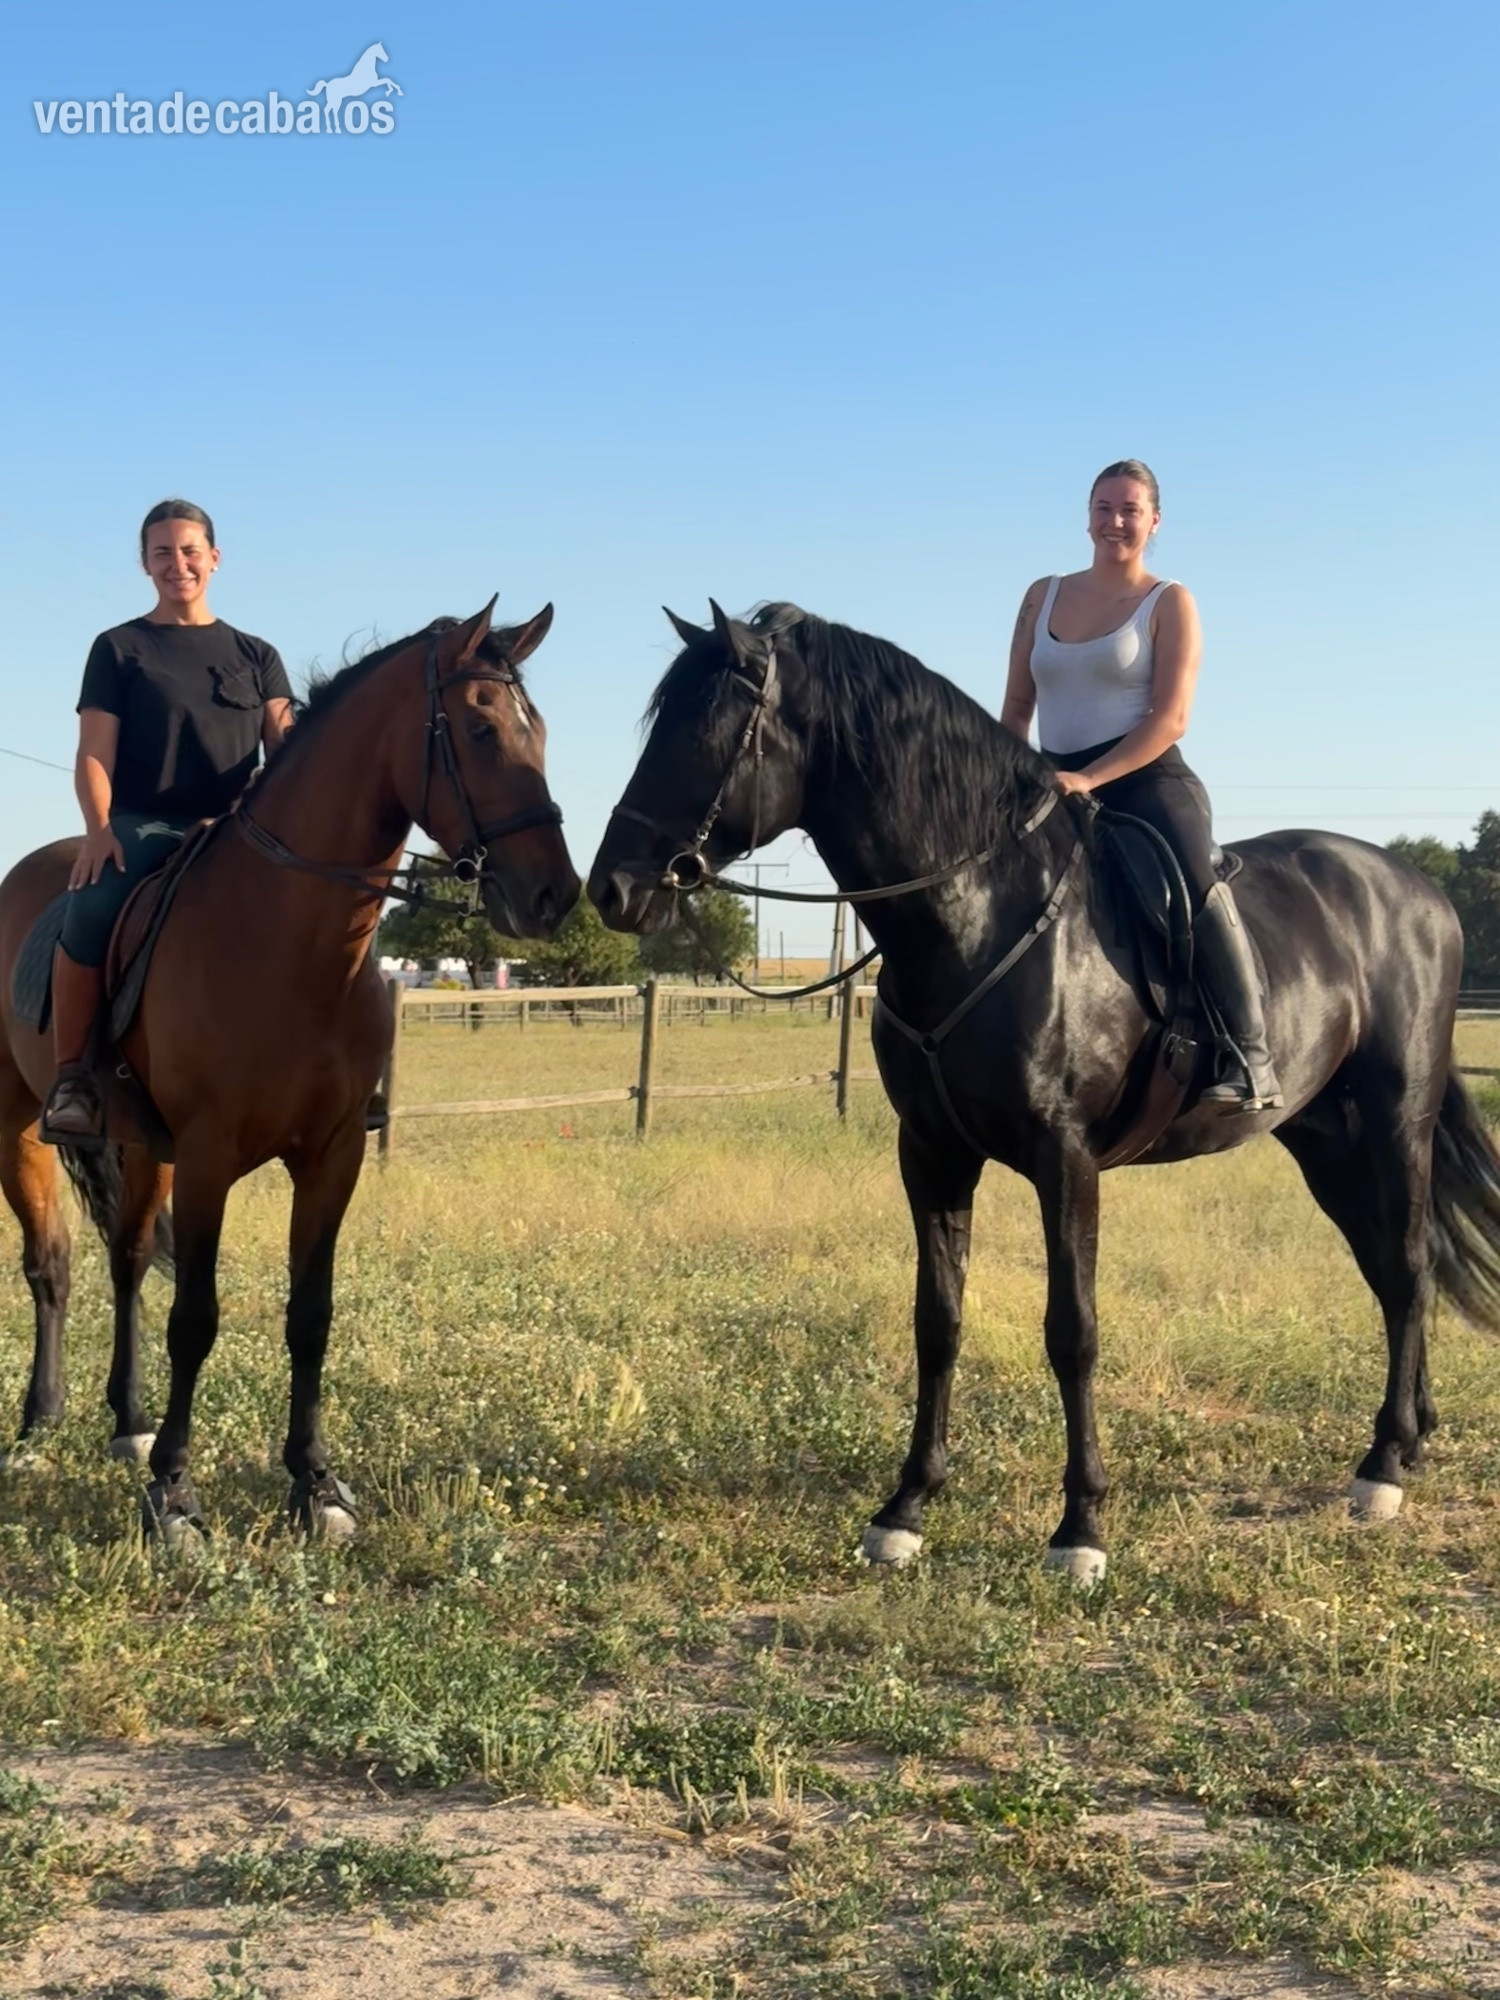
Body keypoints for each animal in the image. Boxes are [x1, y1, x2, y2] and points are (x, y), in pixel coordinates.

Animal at [0, 600, 579, 1541]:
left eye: (541, 731)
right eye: (484, 728)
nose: (555, 897)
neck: (289, 939)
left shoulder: (332, 1154)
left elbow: (311, 1315)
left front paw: (315, 1484)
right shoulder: (209, 1156)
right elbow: (195, 1319)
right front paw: (175, 1497)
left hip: (146, 1148)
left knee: (126, 1259)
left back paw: (127, 1422)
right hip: (20, 1125)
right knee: (51, 1264)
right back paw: (36, 1429)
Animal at [589, 600, 1500, 1583]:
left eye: (708, 730)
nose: (613, 888)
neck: (978, 914)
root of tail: (1416, 889)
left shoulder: (1065, 1161)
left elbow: (1073, 1331)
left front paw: (1081, 1528)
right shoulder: (932, 1155)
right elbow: (938, 1321)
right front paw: (905, 1509)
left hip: (1396, 1122)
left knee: (1407, 1269)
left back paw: (1382, 1473)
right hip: (1325, 1141)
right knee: (1393, 1270)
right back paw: (1405, 1441)